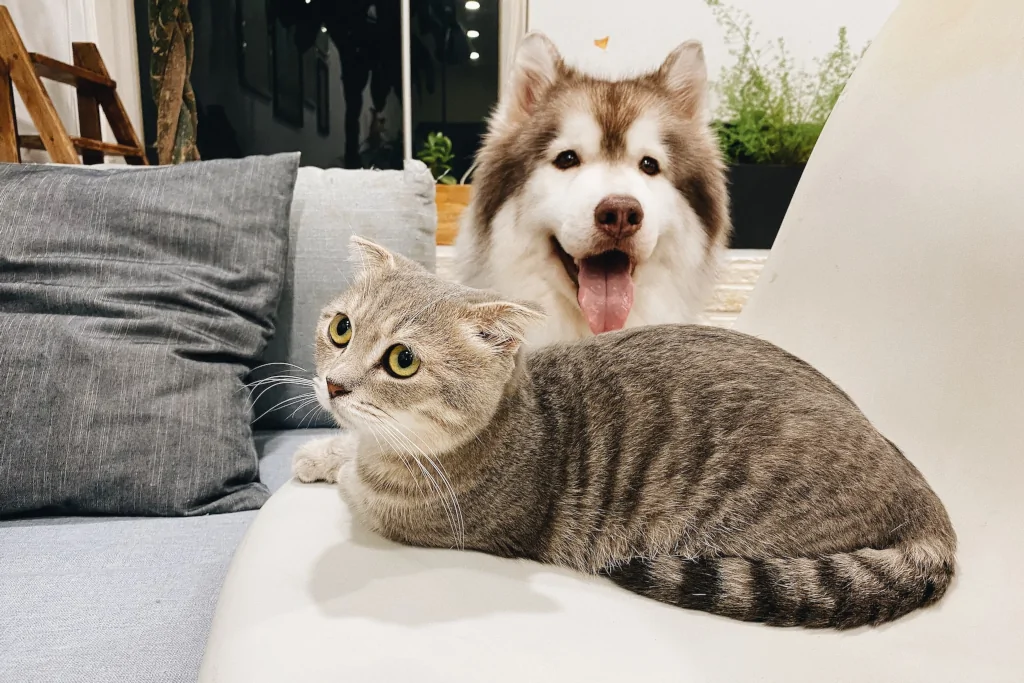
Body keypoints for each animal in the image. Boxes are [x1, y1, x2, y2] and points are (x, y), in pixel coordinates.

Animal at [292, 236, 954, 630]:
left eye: (402, 361)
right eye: (342, 328)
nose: (335, 385)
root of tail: (922, 494)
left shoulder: (411, 519)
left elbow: (357, 481)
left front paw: (336, 462)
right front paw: (319, 452)